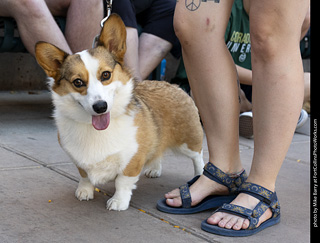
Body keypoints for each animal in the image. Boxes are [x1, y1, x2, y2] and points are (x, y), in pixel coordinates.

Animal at [35, 13, 205, 211]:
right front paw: (84, 191)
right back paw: (155, 169)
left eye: (106, 75)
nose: (100, 106)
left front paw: (118, 201)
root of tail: (174, 85)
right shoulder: (78, 160)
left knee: (198, 157)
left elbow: (122, 182)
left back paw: (200, 176)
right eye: (78, 82)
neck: (95, 129)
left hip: (188, 141)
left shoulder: (132, 158)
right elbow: (84, 176)